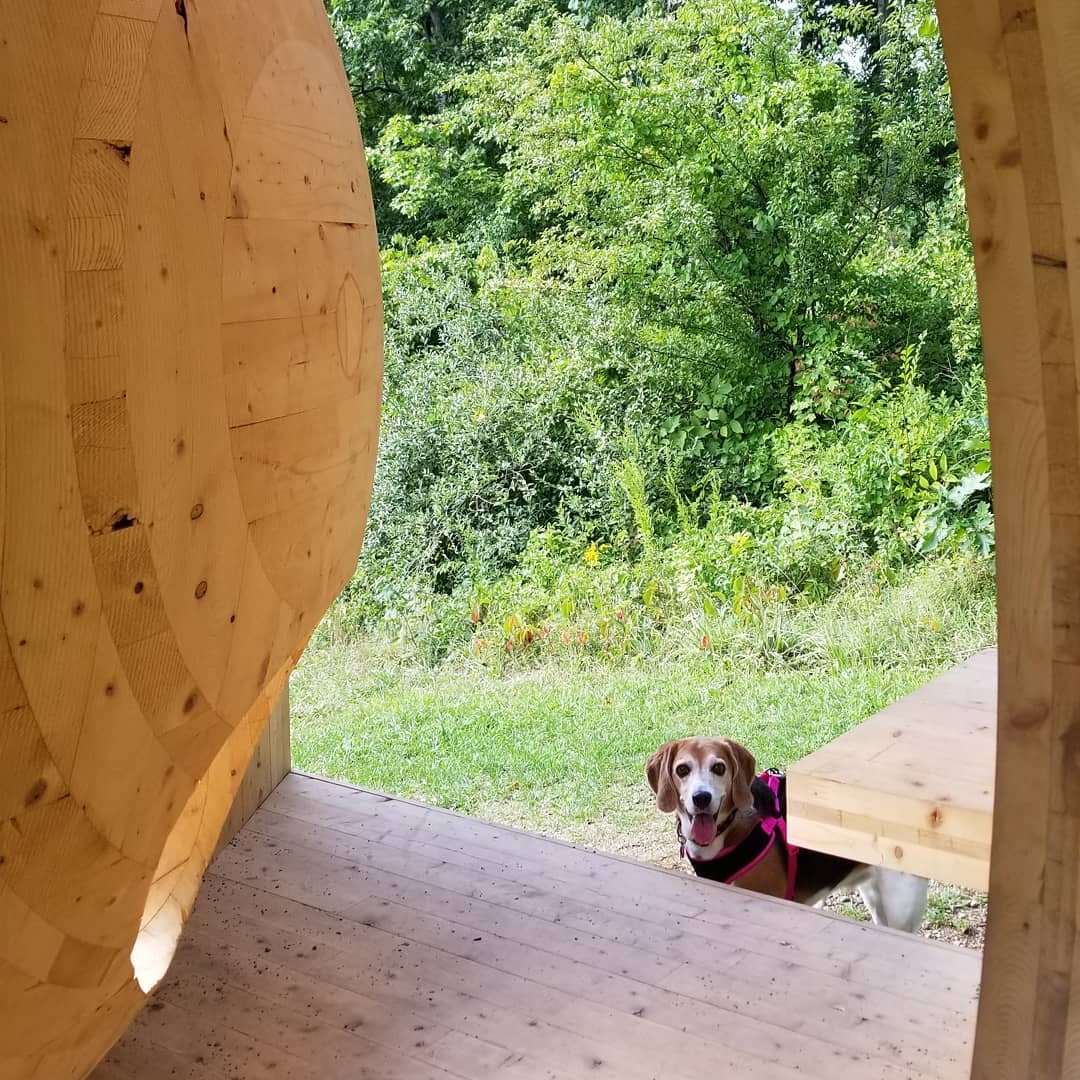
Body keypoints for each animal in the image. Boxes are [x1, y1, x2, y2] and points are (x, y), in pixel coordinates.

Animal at [643, 738, 933, 933]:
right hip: (875, 897)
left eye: (719, 768)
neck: (729, 830)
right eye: (682, 770)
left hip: (901, 905)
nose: (701, 797)